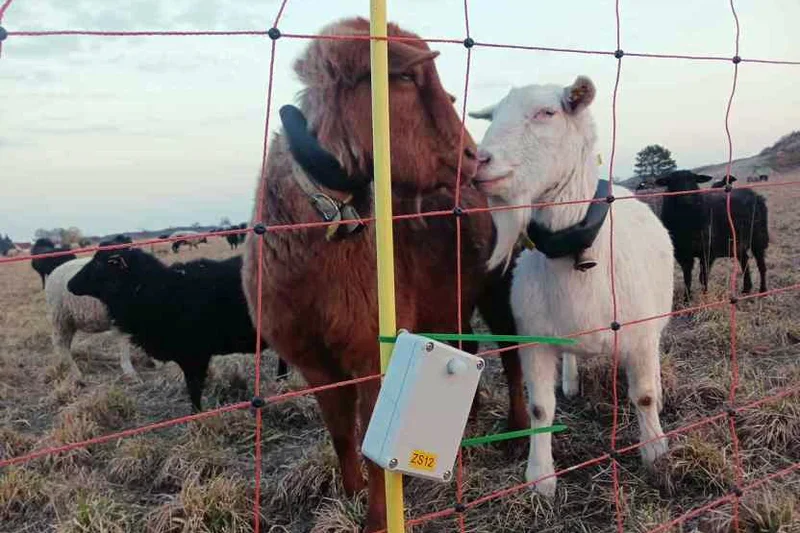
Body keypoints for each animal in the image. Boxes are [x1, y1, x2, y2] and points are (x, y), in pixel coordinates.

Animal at [241, 16, 528, 531]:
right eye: (408, 78)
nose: (475, 159)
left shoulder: (374, 349)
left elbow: (373, 444)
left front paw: (376, 518)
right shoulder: (314, 362)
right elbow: (340, 433)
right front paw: (351, 494)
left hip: (501, 281)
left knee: (513, 354)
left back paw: (517, 432)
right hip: (451, 296)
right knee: (468, 346)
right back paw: (468, 426)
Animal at [468, 76, 674, 497]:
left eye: (547, 112)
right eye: (493, 116)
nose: (479, 160)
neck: (577, 248)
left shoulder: (640, 332)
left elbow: (644, 395)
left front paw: (655, 452)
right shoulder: (534, 338)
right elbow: (539, 408)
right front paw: (540, 475)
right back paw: (571, 382)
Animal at [655, 170, 769, 301]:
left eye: (694, 180)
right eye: (672, 182)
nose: (687, 199)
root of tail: (755, 194)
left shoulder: (708, 251)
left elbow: (703, 277)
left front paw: (704, 297)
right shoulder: (682, 254)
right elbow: (687, 277)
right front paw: (687, 299)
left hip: (758, 238)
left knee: (761, 265)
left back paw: (763, 291)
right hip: (738, 242)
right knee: (744, 261)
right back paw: (746, 290)